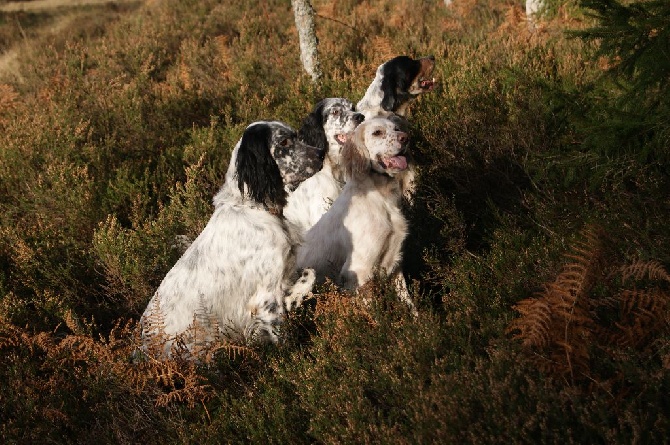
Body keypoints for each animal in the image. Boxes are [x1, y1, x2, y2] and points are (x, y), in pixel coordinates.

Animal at [143, 120, 326, 358]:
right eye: (285, 142)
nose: (321, 152)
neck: (254, 207)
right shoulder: (265, 297)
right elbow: (281, 336)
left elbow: (310, 274)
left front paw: (295, 296)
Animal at [298, 116, 418, 314]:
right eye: (377, 132)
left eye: (396, 128)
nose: (405, 138)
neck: (381, 196)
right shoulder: (359, 271)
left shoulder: (395, 263)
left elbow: (409, 302)